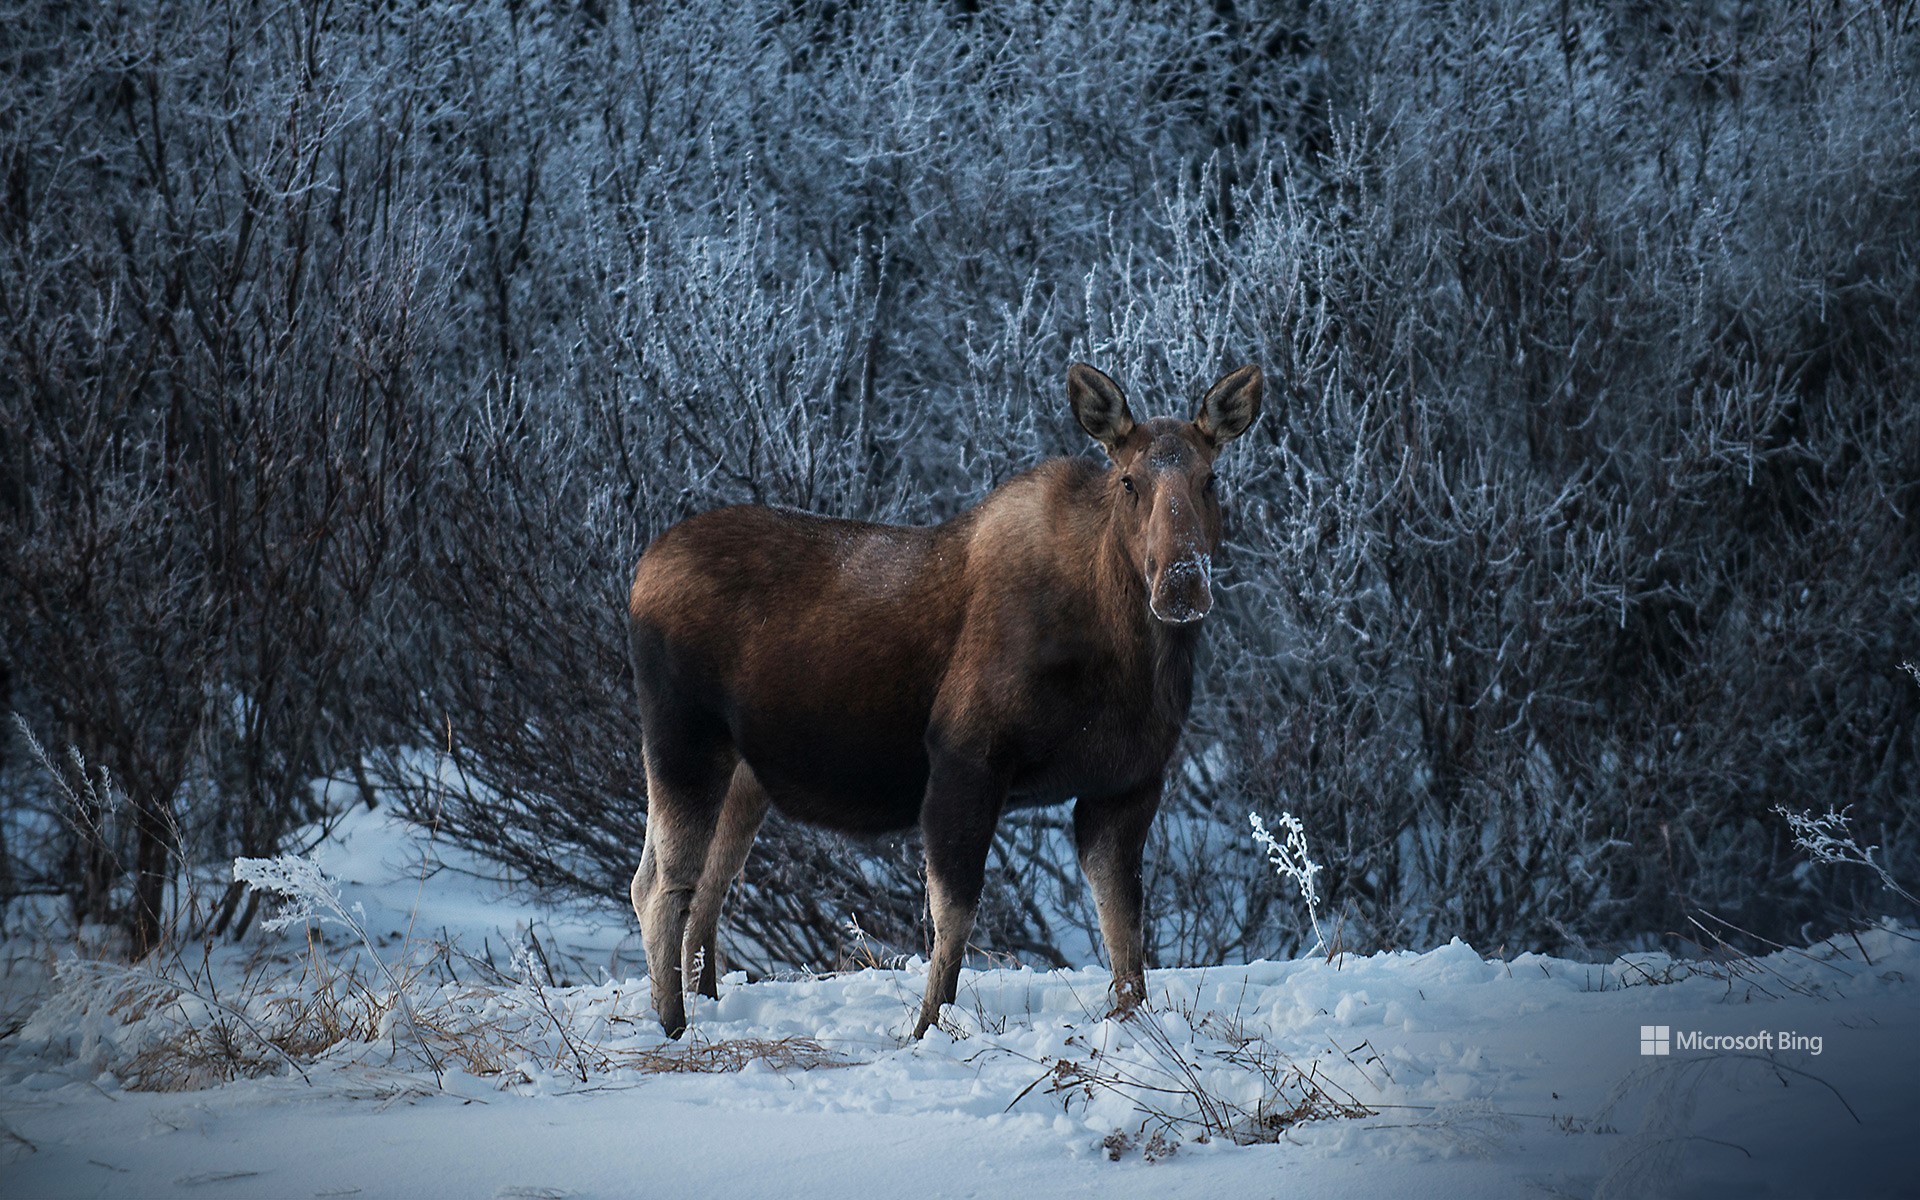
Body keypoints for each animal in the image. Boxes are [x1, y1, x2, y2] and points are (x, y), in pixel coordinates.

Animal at [625, 360, 1259, 1036]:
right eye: (1129, 481)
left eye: (1211, 478)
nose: (1181, 582)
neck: (1129, 658)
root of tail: (639, 575)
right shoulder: (966, 760)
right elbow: (953, 917)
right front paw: (927, 1028)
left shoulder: (1125, 784)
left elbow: (1125, 930)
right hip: (682, 739)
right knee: (661, 884)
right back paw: (673, 1025)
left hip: (742, 775)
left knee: (705, 883)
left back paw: (706, 1002)